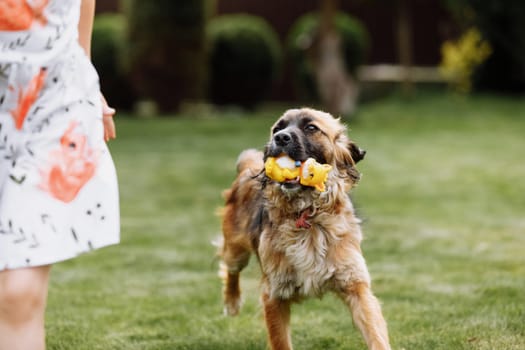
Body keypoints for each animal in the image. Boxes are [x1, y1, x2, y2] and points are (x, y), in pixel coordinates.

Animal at [217, 108, 388, 350]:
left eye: (311, 128)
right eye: (277, 128)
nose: (280, 138)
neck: (308, 214)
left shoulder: (356, 285)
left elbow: (376, 334)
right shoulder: (274, 294)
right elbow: (281, 341)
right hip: (236, 250)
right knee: (230, 269)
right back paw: (232, 303)